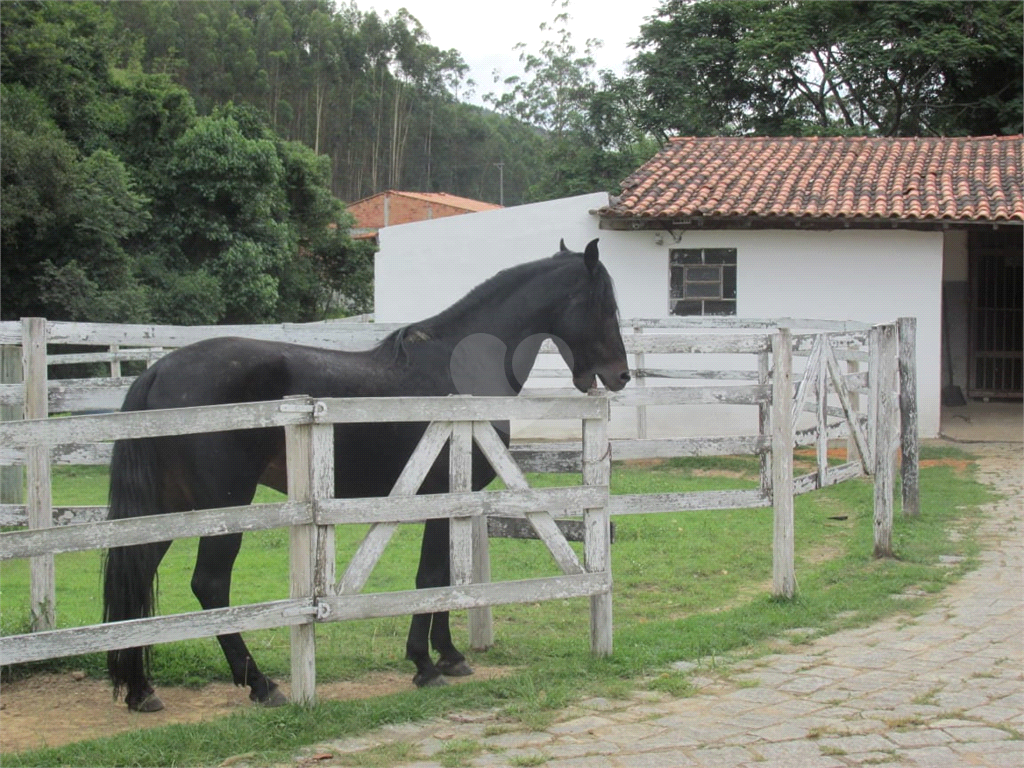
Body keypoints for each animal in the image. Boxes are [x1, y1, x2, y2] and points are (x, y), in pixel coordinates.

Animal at [105, 239, 630, 708]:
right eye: (605, 304)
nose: (621, 375)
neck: (460, 367)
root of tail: (158, 372)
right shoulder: (438, 494)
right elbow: (430, 575)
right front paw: (424, 665)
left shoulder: (450, 501)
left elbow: (443, 575)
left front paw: (449, 655)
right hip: (225, 508)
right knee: (210, 586)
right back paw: (261, 684)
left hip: (168, 509)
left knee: (138, 574)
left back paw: (141, 690)